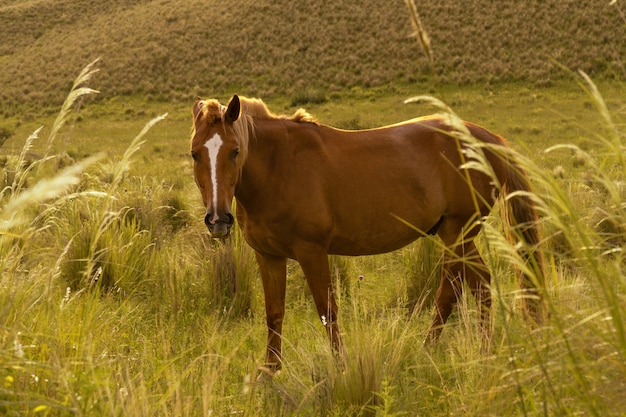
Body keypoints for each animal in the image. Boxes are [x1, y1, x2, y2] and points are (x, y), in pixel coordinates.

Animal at [189, 95, 540, 370]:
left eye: (235, 151)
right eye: (195, 154)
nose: (218, 219)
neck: (278, 167)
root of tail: (488, 139)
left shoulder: (312, 252)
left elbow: (327, 311)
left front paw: (341, 368)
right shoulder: (269, 256)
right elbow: (274, 314)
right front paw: (270, 375)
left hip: (458, 231)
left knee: (456, 288)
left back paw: (442, 350)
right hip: (455, 234)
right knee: (476, 283)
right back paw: (470, 350)